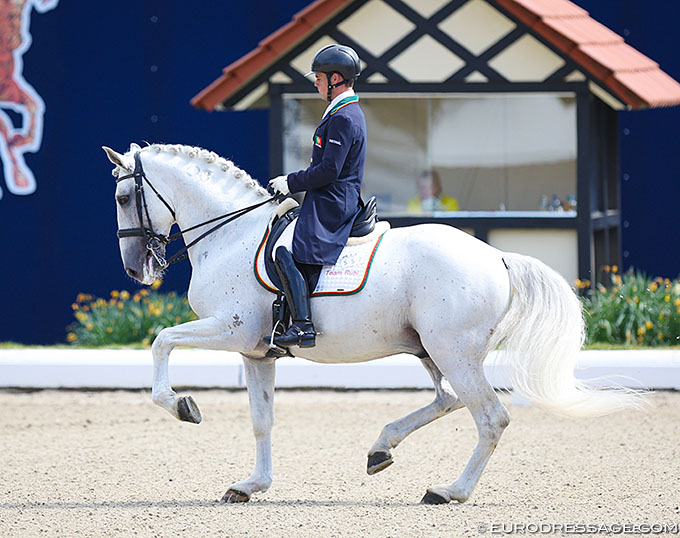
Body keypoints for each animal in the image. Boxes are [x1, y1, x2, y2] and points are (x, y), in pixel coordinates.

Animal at [103, 141, 640, 502]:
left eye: (124, 199)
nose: (134, 270)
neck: (230, 235)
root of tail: (498, 256)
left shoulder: (231, 328)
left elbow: (161, 341)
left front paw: (182, 406)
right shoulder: (256, 351)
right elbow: (262, 420)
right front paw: (252, 485)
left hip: (452, 350)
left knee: (490, 416)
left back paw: (449, 491)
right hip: (432, 349)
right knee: (448, 400)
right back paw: (382, 448)